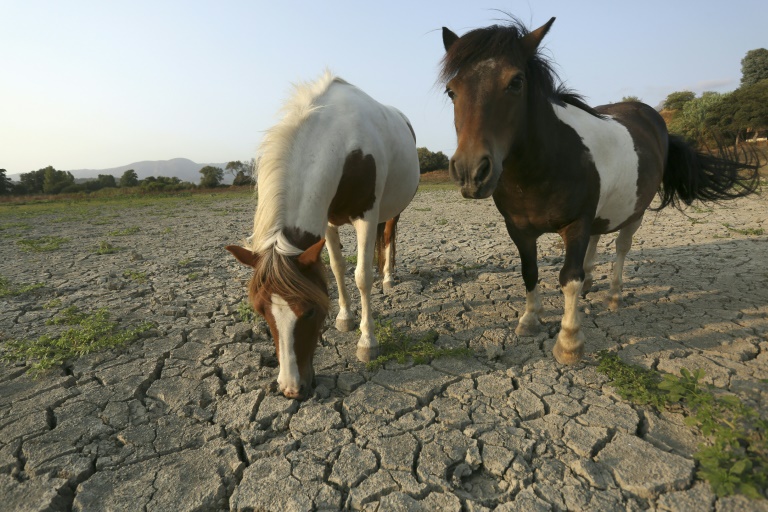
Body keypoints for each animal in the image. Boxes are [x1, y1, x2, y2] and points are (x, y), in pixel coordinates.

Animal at [228, 71, 420, 400]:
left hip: (393, 207)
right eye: (262, 311)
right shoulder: (327, 220)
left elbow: (361, 277)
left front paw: (367, 342)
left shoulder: (366, 216)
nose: (291, 389)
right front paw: (345, 318)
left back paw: (388, 276)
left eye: (309, 312)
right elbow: (337, 268)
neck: (344, 143)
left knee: (389, 235)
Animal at [440, 18, 760, 366]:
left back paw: (614, 294)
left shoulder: (575, 223)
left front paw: (569, 341)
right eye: (451, 90)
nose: (471, 172)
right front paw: (529, 320)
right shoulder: (518, 229)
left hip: (635, 212)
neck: (541, 167)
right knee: (595, 242)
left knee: (621, 248)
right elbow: (530, 272)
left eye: (516, 82)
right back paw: (592, 282)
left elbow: (569, 277)